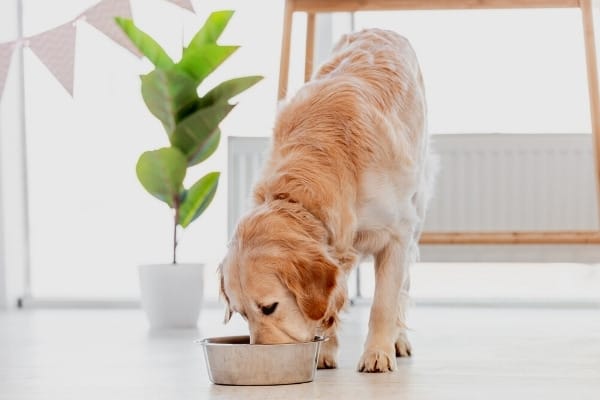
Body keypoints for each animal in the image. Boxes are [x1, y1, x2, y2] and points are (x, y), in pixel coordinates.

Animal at [218, 29, 434, 374]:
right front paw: (324, 351)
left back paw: (398, 341)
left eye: (269, 307)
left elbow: (384, 303)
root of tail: (381, 30)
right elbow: (328, 303)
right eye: (241, 313)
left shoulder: (396, 235)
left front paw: (377, 353)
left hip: (417, 209)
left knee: (403, 288)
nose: (261, 359)